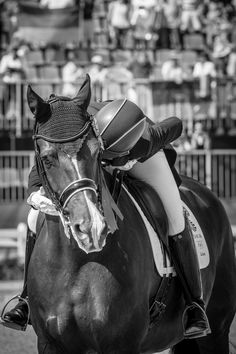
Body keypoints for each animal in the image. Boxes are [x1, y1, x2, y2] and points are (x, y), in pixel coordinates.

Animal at [26, 73, 235, 352]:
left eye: (97, 152)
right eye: (48, 158)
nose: (92, 228)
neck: (78, 263)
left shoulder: (121, 343)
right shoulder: (49, 343)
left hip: (217, 331)